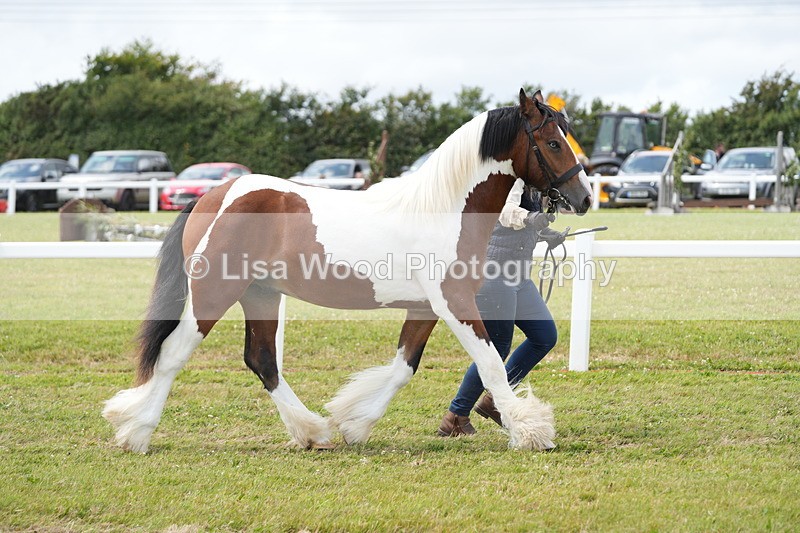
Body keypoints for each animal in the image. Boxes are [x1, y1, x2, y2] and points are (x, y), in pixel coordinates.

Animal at [103, 89, 593, 453]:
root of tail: (214, 196)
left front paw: (354, 423)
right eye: (552, 142)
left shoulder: (424, 308)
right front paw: (531, 430)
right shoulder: (454, 303)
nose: (585, 197)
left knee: (262, 360)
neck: (443, 209)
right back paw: (136, 432)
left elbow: (403, 367)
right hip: (214, 293)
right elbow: (490, 363)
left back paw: (312, 432)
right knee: (174, 354)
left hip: (261, 294)